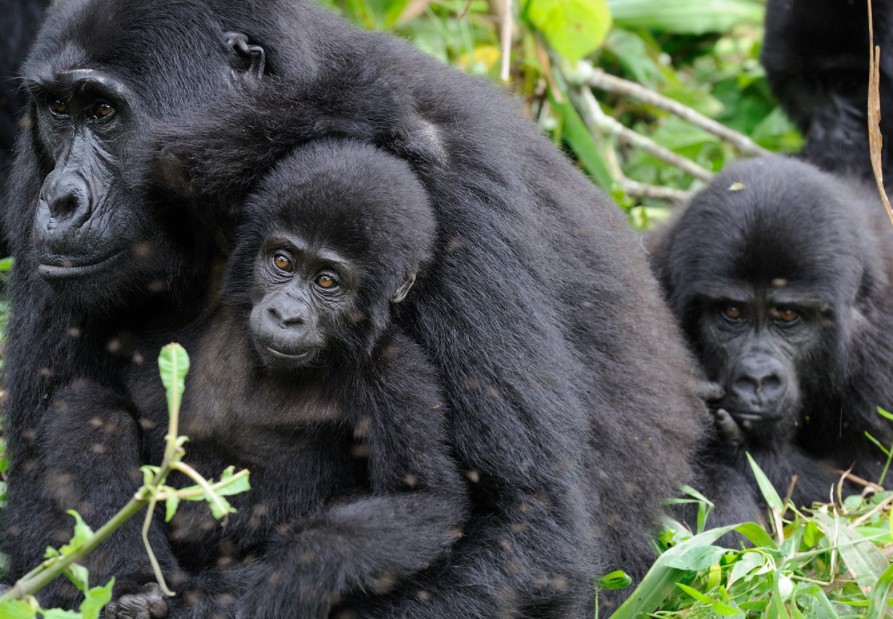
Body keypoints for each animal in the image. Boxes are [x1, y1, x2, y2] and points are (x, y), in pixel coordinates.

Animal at [37, 138, 464, 616]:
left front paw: (289, 577)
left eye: (327, 281)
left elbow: (425, 498)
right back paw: (136, 584)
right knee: (90, 408)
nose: (285, 315)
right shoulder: (212, 262)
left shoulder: (397, 371)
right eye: (281, 261)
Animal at [648, 157, 892, 524]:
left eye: (787, 315)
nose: (758, 379)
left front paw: (741, 449)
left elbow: (869, 496)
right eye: (733, 312)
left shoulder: (882, 353)